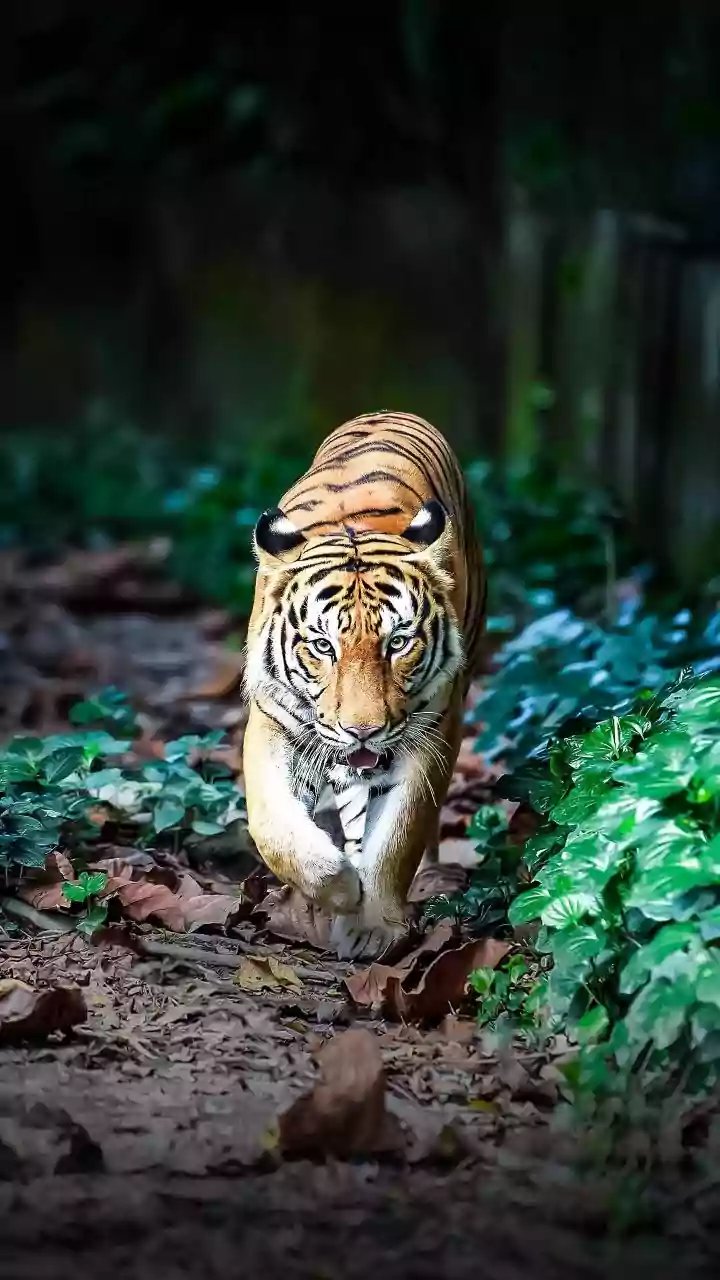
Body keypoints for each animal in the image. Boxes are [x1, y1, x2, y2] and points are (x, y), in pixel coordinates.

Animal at [243, 410, 486, 960]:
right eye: (323, 646)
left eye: (398, 643)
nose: (363, 730)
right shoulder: (272, 721)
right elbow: (271, 825)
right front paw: (338, 886)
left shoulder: (433, 731)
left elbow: (399, 835)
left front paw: (373, 925)